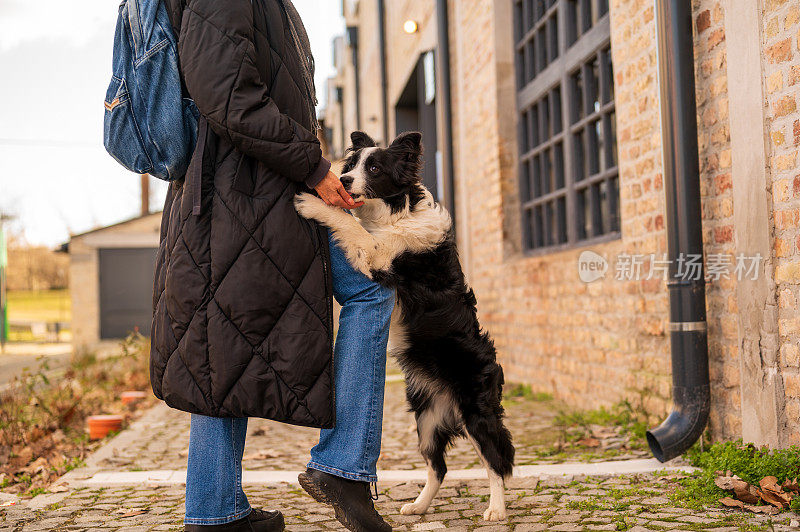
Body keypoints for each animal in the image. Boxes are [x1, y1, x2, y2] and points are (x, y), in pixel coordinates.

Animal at [294, 131, 512, 520]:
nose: (342, 180)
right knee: (438, 467)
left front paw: (312, 202)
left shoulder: (380, 256)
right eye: (351, 165)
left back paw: (496, 510)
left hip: (475, 413)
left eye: (374, 168)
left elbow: (349, 224)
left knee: (495, 461)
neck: (395, 214)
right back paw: (418, 506)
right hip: (426, 419)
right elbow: (353, 224)